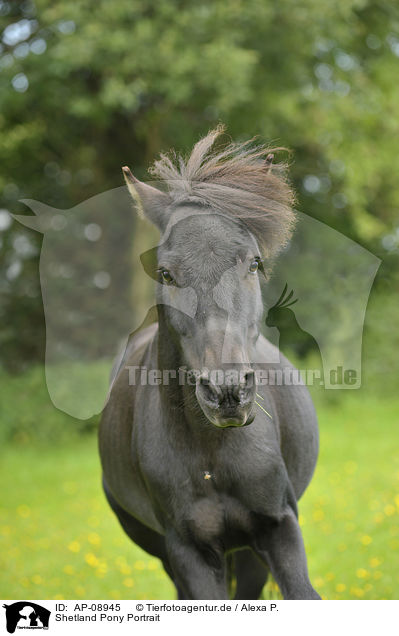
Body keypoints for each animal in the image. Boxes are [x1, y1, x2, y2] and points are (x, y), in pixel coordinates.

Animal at [100, 126, 322, 600]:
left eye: (254, 263)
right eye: (165, 273)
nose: (227, 393)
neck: (211, 455)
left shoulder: (279, 528)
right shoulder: (189, 553)